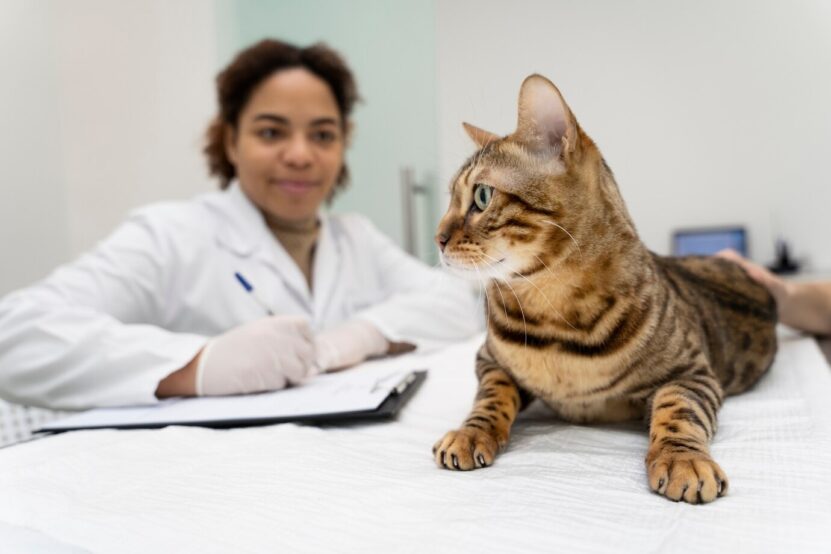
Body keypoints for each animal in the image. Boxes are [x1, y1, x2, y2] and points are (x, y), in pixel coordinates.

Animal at [436, 74, 780, 504]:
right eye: (450, 199)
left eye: (482, 196)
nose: (437, 238)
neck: (553, 313)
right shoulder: (488, 361)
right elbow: (491, 396)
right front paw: (469, 433)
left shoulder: (692, 372)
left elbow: (678, 410)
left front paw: (683, 459)